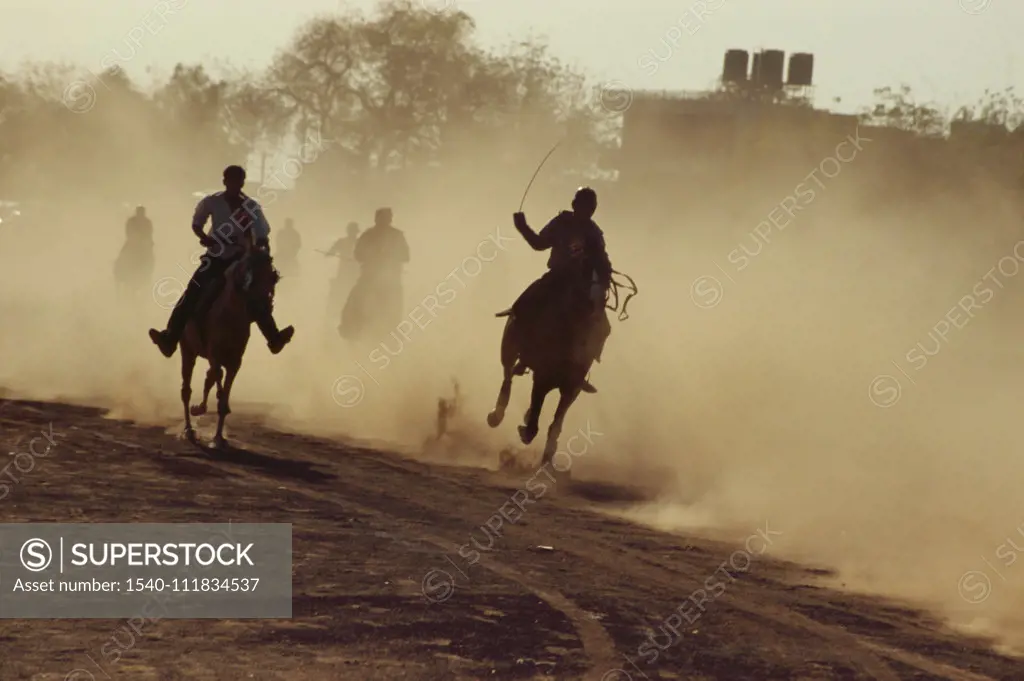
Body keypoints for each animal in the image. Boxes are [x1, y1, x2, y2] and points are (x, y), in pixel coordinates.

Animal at [176, 244, 280, 446]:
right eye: (248, 269)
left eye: (271, 274)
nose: (265, 304)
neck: (229, 315)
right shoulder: (214, 353)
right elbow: (217, 381)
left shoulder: (235, 360)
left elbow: (223, 397)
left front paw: (219, 438)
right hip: (187, 349)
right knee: (186, 390)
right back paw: (189, 430)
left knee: (208, 377)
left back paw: (198, 410)